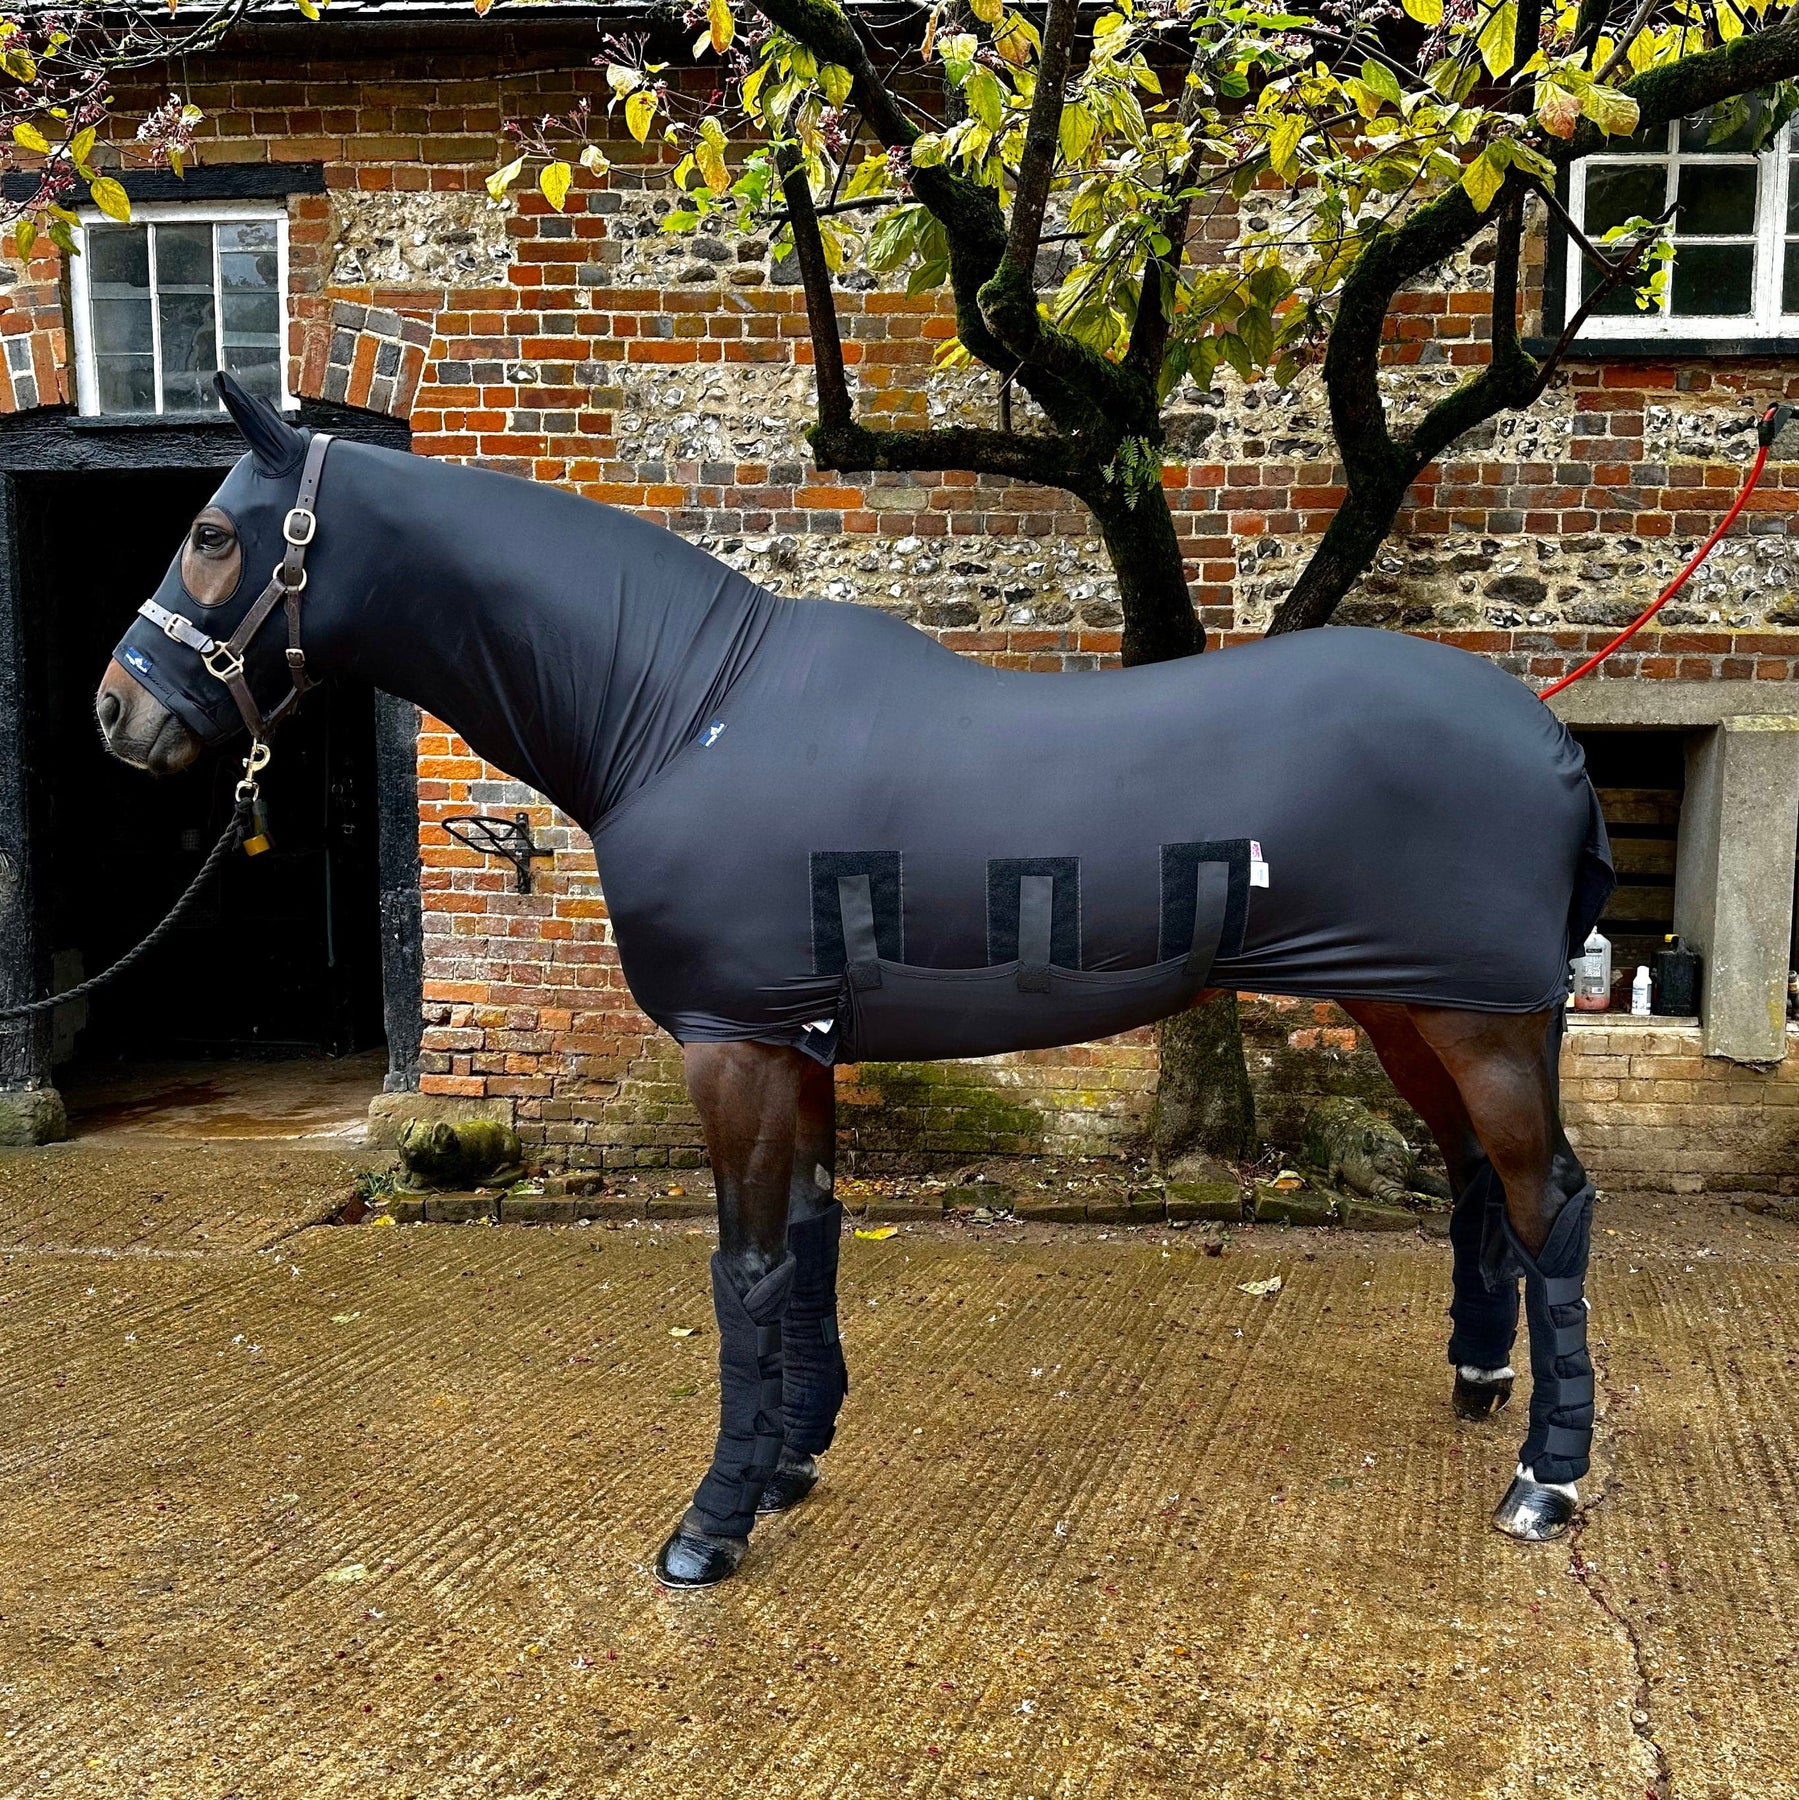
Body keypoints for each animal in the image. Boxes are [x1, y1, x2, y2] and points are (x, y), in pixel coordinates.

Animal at [97, 373, 1615, 1589]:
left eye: (216, 534)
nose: (118, 713)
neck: (682, 710)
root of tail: (1546, 739)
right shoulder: (797, 1039)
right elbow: (814, 1242)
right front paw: (788, 1460)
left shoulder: (731, 1045)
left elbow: (744, 1269)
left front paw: (710, 1523)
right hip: (1403, 1002)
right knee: (1479, 1185)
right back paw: (1479, 1381)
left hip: (1476, 1017)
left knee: (1548, 1199)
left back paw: (1544, 1479)